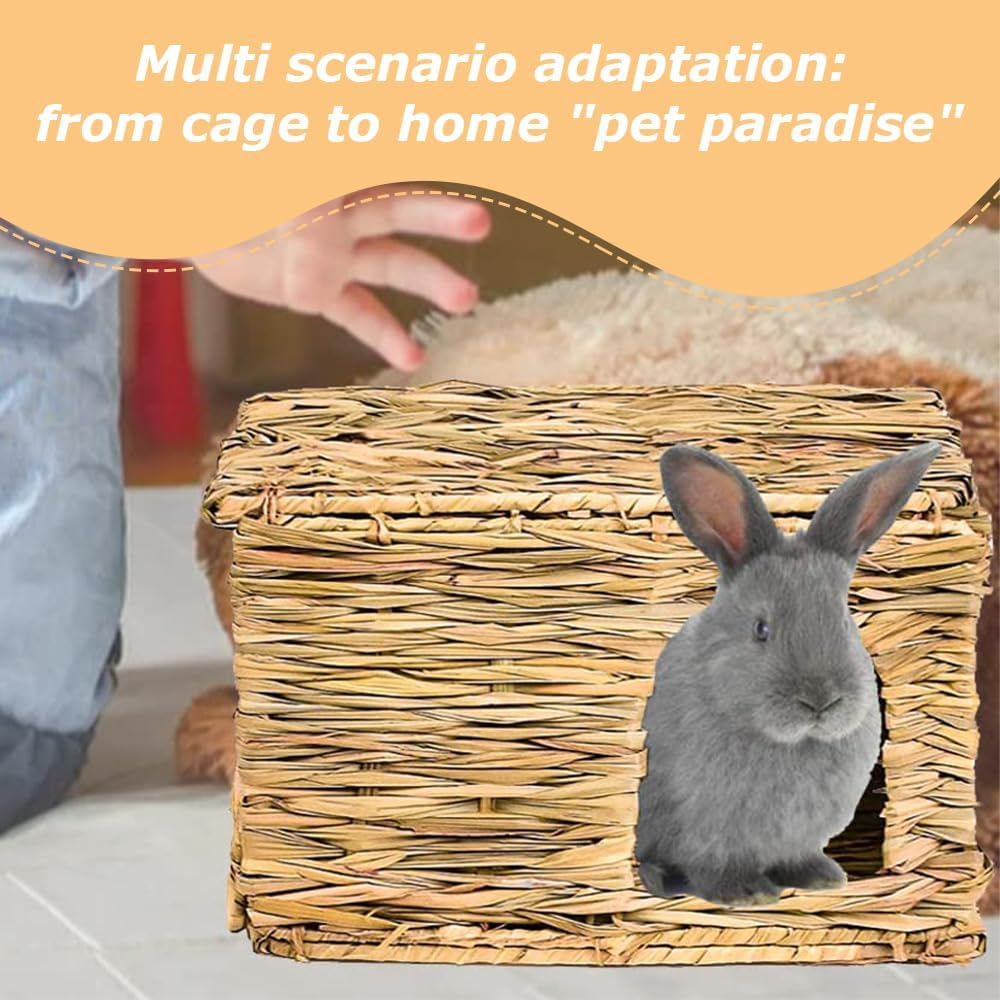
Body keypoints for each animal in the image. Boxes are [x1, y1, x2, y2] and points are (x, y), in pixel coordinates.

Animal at [635, 441, 941, 906]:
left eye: (846, 622)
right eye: (761, 630)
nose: (820, 702)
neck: (794, 743)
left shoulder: (797, 836)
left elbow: (796, 857)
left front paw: (822, 878)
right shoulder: (706, 829)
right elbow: (712, 865)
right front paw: (747, 894)